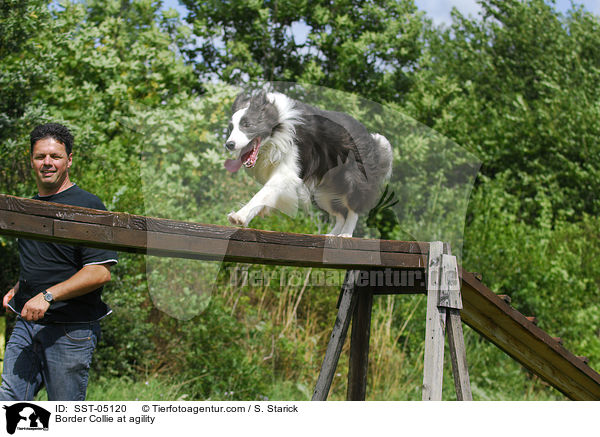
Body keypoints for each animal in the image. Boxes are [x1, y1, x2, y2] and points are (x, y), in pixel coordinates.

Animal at [225, 90, 394, 237]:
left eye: (247, 124)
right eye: (231, 127)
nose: (229, 144)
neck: (278, 129)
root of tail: (372, 140)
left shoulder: (288, 168)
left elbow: (263, 193)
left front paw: (239, 216)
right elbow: (267, 194)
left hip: (352, 179)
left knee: (353, 208)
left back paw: (346, 234)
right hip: (322, 193)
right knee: (340, 213)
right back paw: (331, 235)